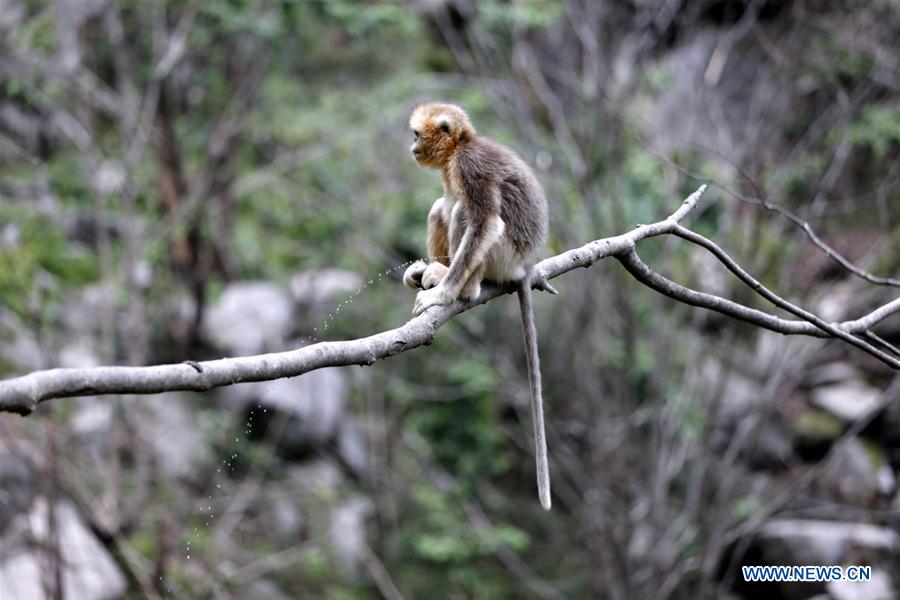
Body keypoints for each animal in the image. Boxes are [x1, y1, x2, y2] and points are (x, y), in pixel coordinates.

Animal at [402, 101, 556, 508]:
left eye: (416, 134)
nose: (411, 148)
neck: (459, 148)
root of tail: (525, 264)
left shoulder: (470, 166)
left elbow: (485, 221)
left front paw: (442, 294)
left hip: (503, 256)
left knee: (465, 213)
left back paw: (463, 287)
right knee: (442, 207)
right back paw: (431, 270)